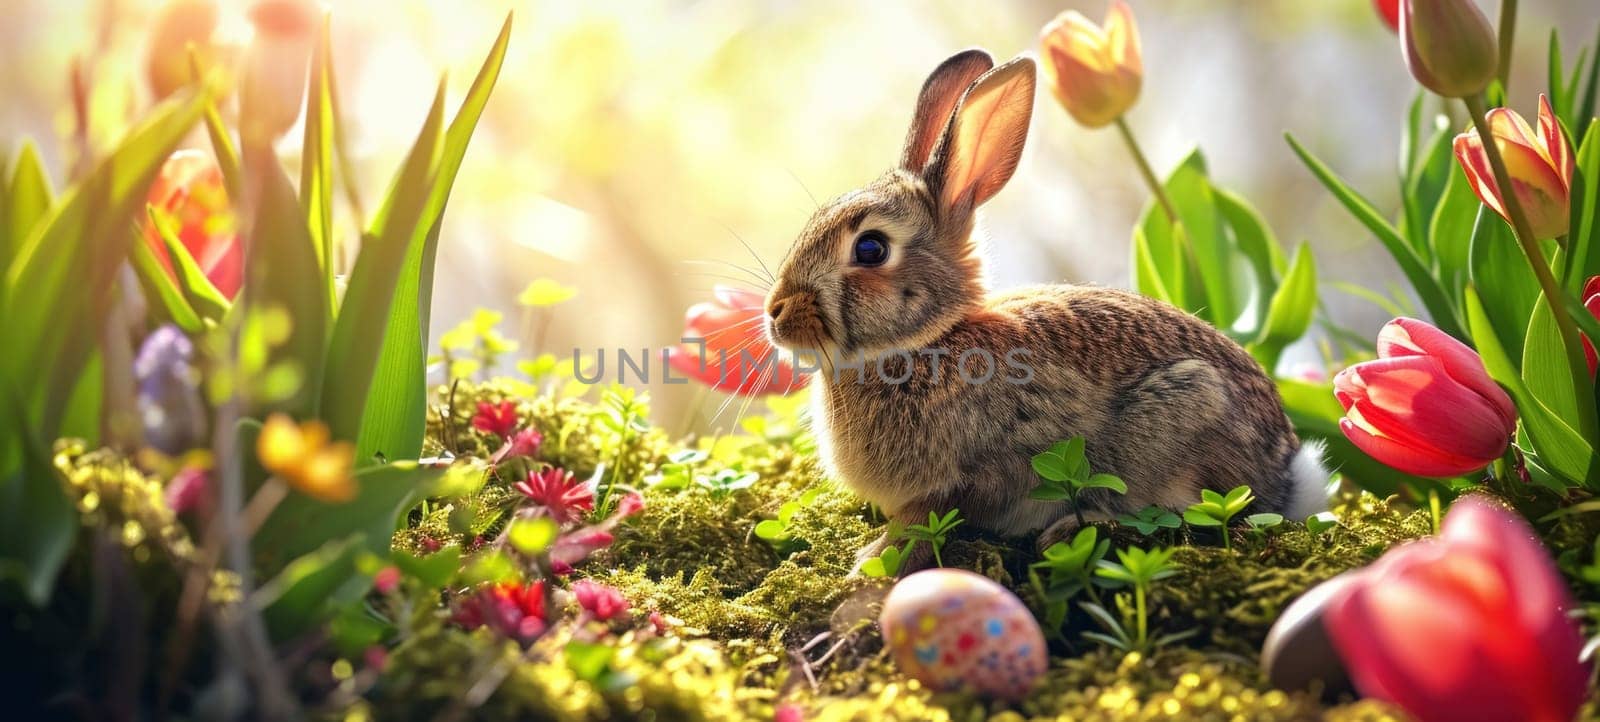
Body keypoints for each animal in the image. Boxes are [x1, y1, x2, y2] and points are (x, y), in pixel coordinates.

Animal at [758, 48, 1324, 576]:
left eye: (871, 249)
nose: (776, 313)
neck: (926, 342)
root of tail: (1288, 476)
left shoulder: (986, 469)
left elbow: (931, 518)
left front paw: (874, 562)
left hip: (1185, 413)